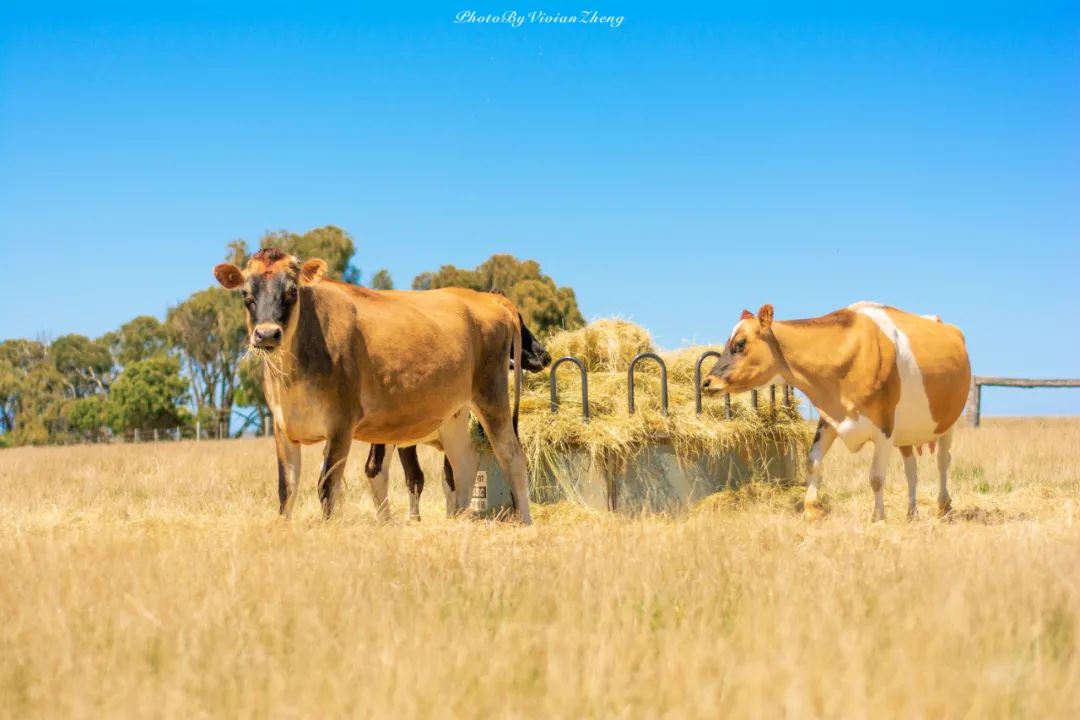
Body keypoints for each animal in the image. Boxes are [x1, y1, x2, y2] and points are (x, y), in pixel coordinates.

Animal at [210, 248, 531, 524]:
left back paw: (525, 521)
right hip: (454, 412)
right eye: (246, 294)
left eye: (292, 291)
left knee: (512, 457)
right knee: (463, 465)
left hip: (492, 394)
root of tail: (485, 299)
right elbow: (286, 490)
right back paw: (459, 522)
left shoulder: (341, 425)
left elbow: (327, 487)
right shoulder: (282, 428)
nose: (266, 334)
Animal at [704, 302, 976, 520]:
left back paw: (943, 506)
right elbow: (812, 462)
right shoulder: (829, 420)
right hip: (906, 430)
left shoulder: (884, 428)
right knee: (912, 470)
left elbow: (876, 477)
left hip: (947, 422)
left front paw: (878, 517)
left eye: (740, 344)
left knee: (942, 462)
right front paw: (812, 510)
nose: (707, 382)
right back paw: (912, 513)